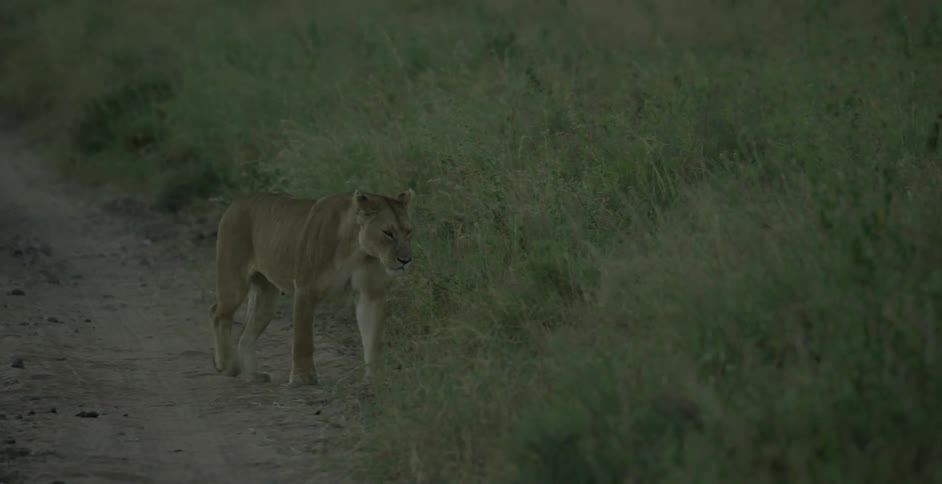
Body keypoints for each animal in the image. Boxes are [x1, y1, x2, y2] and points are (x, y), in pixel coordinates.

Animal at [208, 188, 415, 385]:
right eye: (388, 233)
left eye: (409, 232)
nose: (406, 260)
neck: (356, 249)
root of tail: (238, 201)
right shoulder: (306, 289)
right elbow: (303, 339)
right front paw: (303, 377)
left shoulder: (371, 294)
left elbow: (373, 338)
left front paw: (375, 378)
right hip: (234, 282)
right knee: (218, 313)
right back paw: (226, 365)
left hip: (266, 298)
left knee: (246, 334)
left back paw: (253, 375)